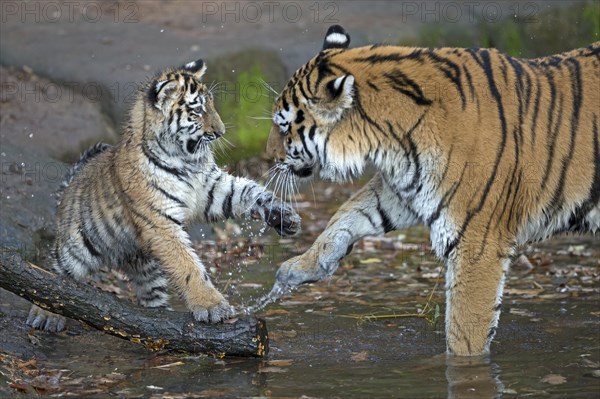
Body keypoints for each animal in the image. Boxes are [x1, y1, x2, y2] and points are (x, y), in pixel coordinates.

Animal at [264, 25, 596, 356]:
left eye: (284, 127)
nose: (268, 158)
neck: (393, 141)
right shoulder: (404, 189)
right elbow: (346, 215)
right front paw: (299, 268)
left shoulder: (478, 244)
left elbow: (465, 330)